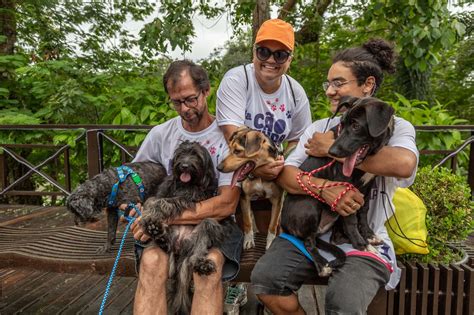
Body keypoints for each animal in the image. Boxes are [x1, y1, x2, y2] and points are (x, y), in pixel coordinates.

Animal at [139, 141, 230, 315]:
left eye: (196, 155)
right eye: (181, 154)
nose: (185, 166)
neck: (184, 184)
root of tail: (180, 248)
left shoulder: (189, 198)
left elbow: (166, 201)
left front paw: (152, 213)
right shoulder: (164, 189)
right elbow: (153, 199)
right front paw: (147, 216)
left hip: (206, 227)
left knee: (199, 247)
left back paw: (201, 263)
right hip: (172, 235)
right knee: (165, 243)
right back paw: (157, 233)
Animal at [280, 96, 394, 276]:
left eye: (356, 126)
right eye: (342, 123)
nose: (331, 152)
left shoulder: (368, 186)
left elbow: (363, 211)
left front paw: (368, 235)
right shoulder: (346, 191)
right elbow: (351, 220)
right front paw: (362, 244)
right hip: (310, 203)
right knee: (308, 242)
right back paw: (322, 265)